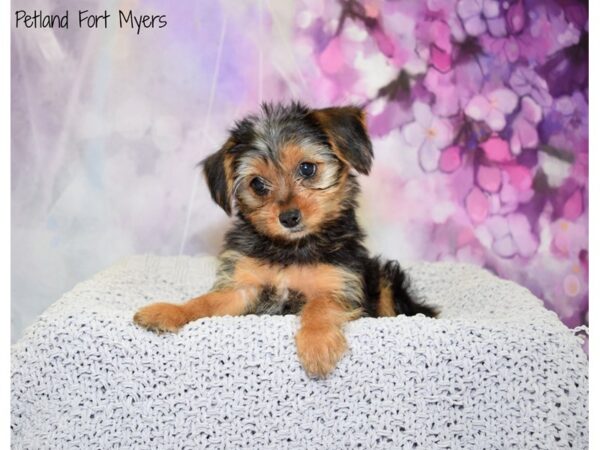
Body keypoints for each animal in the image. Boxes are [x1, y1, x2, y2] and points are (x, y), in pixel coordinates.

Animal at [135, 101, 436, 376]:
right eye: (257, 184)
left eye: (307, 169)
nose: (289, 217)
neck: (291, 247)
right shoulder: (244, 286)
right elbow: (207, 302)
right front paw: (168, 311)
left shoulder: (338, 283)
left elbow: (320, 306)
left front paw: (317, 344)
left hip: (386, 279)